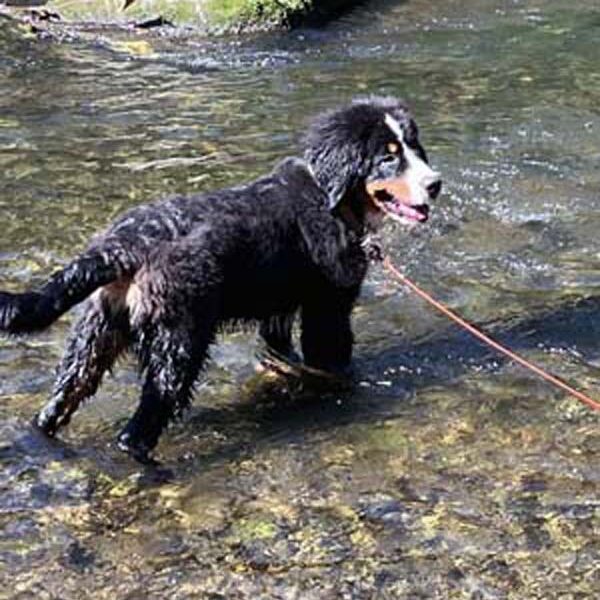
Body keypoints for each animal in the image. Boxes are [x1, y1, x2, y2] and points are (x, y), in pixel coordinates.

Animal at [0, 95, 440, 464]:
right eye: (388, 157)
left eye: (414, 147)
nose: (435, 184)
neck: (329, 196)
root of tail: (124, 244)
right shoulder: (329, 306)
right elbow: (333, 357)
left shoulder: (279, 310)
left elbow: (279, 350)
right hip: (179, 340)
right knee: (141, 425)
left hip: (95, 335)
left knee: (59, 402)